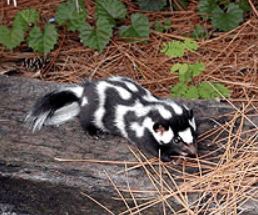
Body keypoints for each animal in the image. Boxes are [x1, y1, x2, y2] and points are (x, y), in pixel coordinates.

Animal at [25, 76, 197, 161]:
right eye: (176, 140)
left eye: (193, 134)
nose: (194, 151)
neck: (152, 109)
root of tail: (84, 91)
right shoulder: (141, 131)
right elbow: (152, 147)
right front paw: (168, 157)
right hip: (92, 111)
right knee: (86, 120)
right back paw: (94, 133)